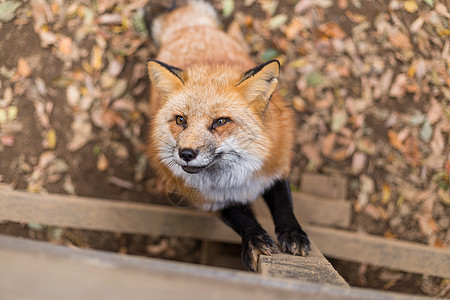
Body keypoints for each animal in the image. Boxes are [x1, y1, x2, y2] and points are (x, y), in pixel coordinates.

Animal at [148, 0, 310, 272]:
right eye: (181, 120)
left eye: (220, 121)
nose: (186, 153)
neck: (236, 181)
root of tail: (189, 28)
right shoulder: (212, 201)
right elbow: (242, 221)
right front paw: (255, 241)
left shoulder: (274, 168)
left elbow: (284, 205)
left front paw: (293, 234)